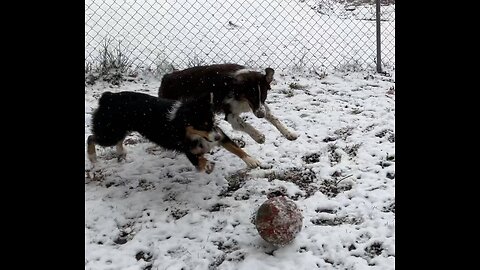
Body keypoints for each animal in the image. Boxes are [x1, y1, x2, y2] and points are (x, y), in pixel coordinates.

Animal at [85, 92, 224, 173]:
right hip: (110, 133)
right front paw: (208, 166)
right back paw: (93, 158)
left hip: (119, 129)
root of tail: (107, 97)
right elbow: (199, 160)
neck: (179, 121)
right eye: (202, 125)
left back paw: (121, 153)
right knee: (91, 137)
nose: (218, 137)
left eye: (213, 121)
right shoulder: (186, 148)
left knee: (118, 140)